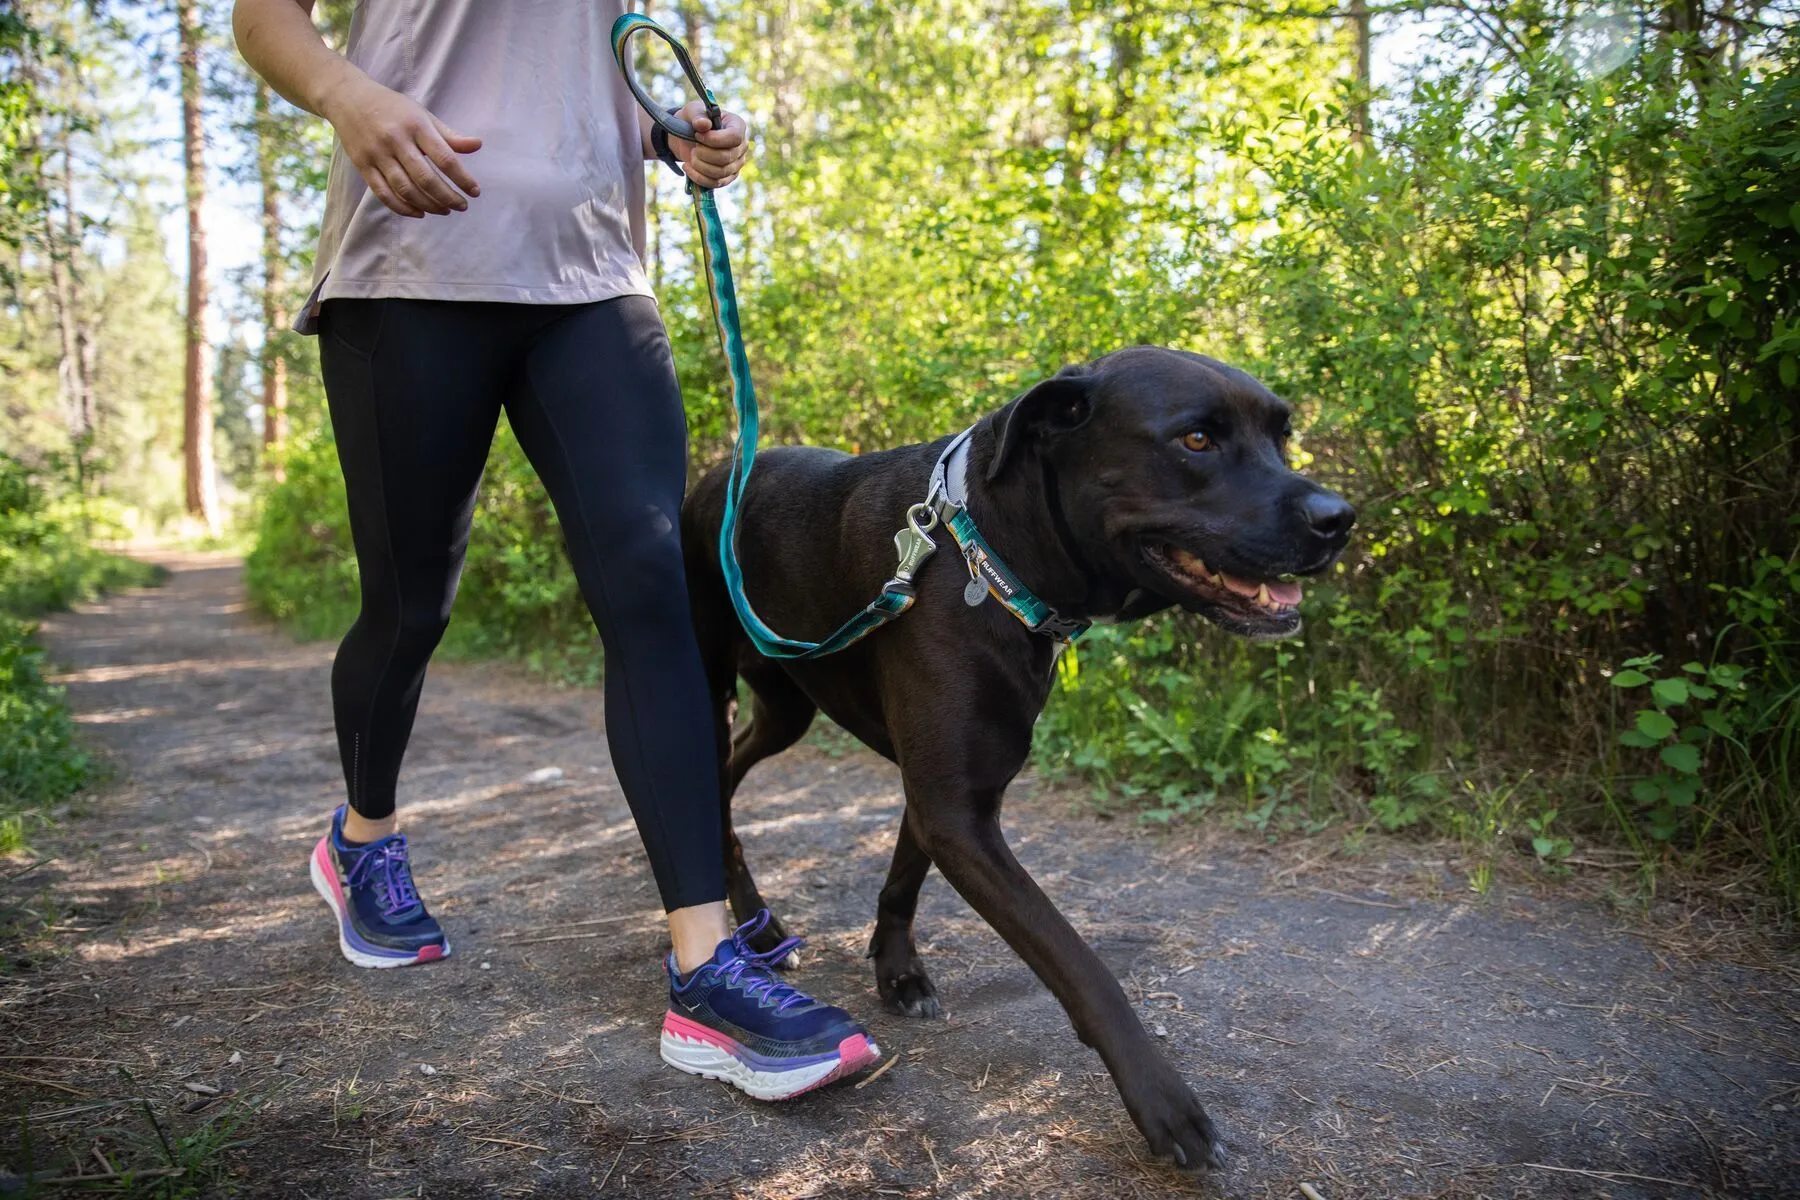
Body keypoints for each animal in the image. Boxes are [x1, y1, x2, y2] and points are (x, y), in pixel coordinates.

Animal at [680, 341, 1353, 1165]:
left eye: (1283, 435)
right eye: (1197, 439)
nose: (1340, 519)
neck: (988, 552)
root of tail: (714, 475)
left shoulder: (952, 796)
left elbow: (903, 881)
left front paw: (898, 974)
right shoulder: (958, 812)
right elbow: (1080, 964)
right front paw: (1163, 1100)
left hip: (786, 707)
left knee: (736, 768)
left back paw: (760, 918)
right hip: (705, 685)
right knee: (711, 784)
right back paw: (755, 923)